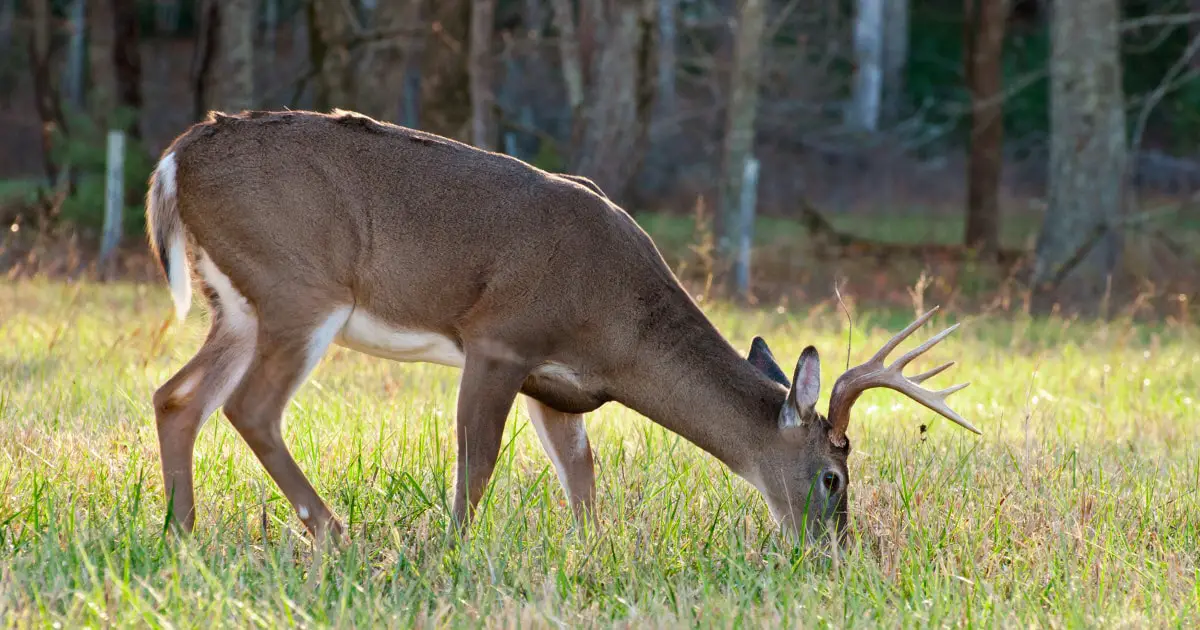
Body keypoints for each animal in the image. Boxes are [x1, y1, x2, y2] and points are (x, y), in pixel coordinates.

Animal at [145, 108, 979, 544]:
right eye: (834, 475)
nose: (833, 550)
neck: (620, 331)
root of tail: (175, 158)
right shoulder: (500, 337)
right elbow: (477, 462)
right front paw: (451, 551)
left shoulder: (558, 386)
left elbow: (582, 477)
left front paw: (591, 554)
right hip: (298, 286)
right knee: (251, 407)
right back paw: (334, 531)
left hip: (237, 305)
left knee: (177, 397)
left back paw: (182, 532)